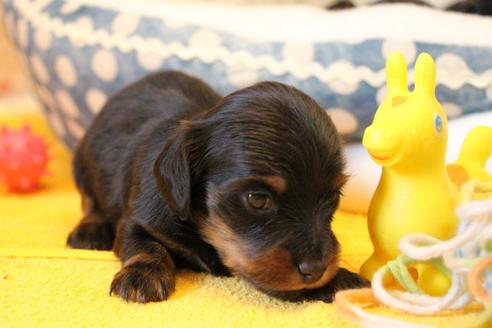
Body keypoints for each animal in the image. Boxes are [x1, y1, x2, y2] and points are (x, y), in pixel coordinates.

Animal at [68, 71, 368, 302]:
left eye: (333, 198)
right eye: (257, 200)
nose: (316, 269)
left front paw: (340, 278)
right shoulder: (137, 221)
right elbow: (146, 245)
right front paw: (142, 276)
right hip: (83, 164)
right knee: (89, 201)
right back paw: (91, 231)